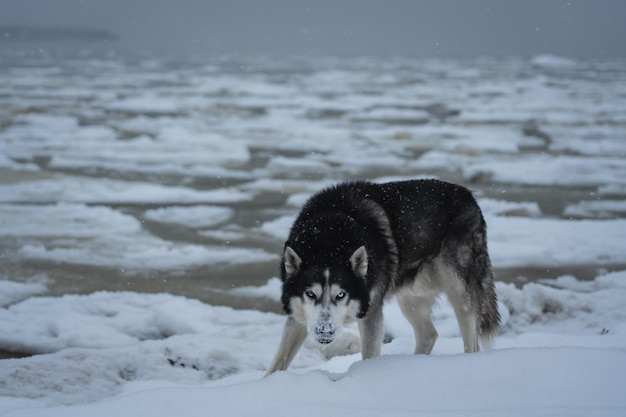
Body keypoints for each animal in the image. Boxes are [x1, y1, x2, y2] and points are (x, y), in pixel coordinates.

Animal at [266, 179, 500, 374]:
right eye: (310, 294)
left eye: (341, 295)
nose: (325, 330)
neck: (328, 239)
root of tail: (469, 196)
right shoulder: (299, 315)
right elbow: (278, 361)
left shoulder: (371, 311)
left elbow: (369, 355)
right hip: (411, 297)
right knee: (429, 334)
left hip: (460, 292)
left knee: (472, 343)